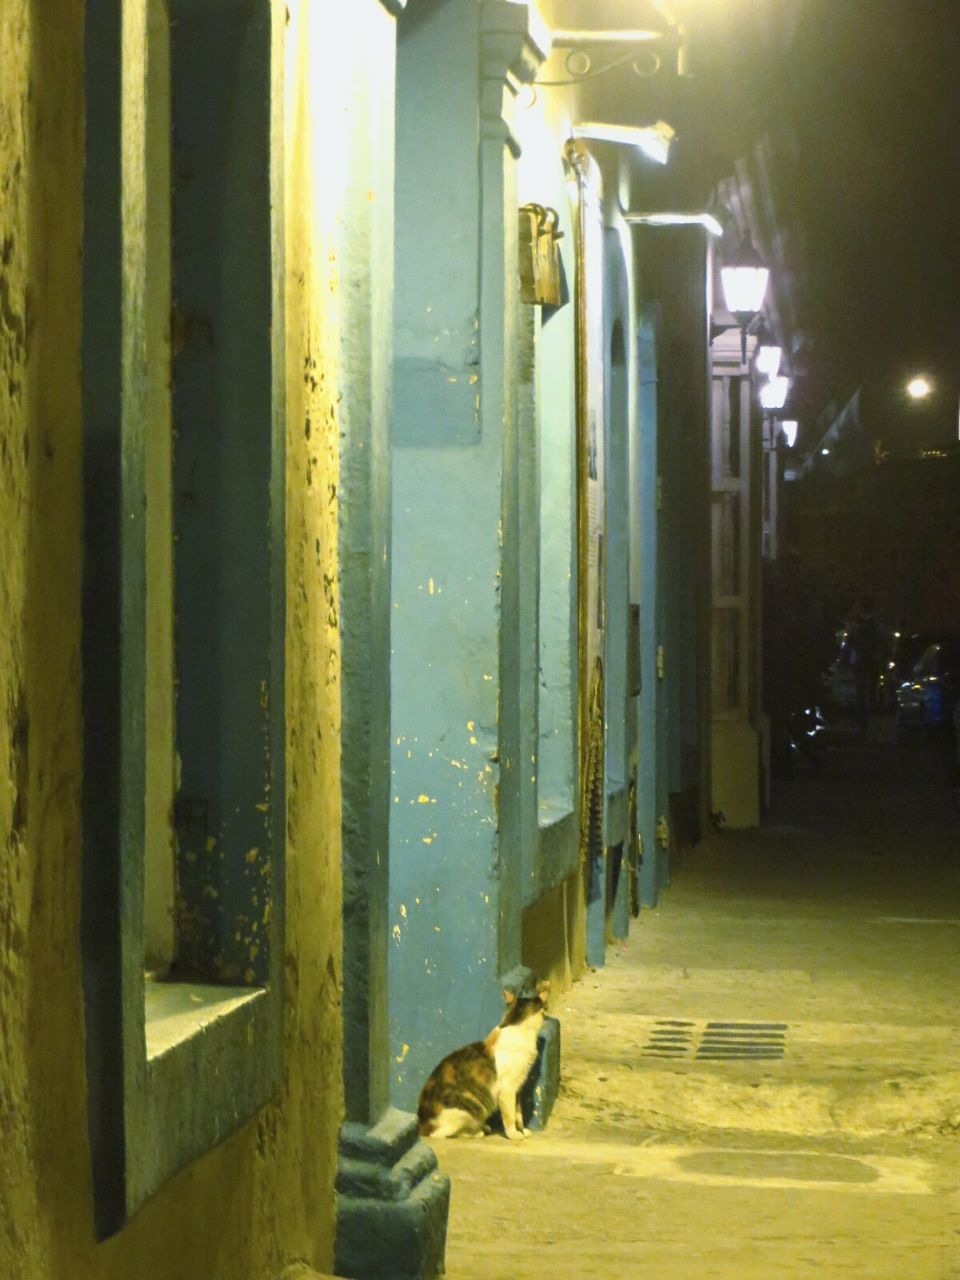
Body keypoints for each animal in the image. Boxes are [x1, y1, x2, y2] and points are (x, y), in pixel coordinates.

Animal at [419, 977, 552, 1141]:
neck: (514, 1024)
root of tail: (422, 1126)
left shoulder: (517, 1088)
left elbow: (518, 1112)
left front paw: (522, 1129)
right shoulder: (507, 1089)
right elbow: (509, 1115)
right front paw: (514, 1134)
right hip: (465, 1108)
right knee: (442, 1134)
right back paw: (477, 1132)